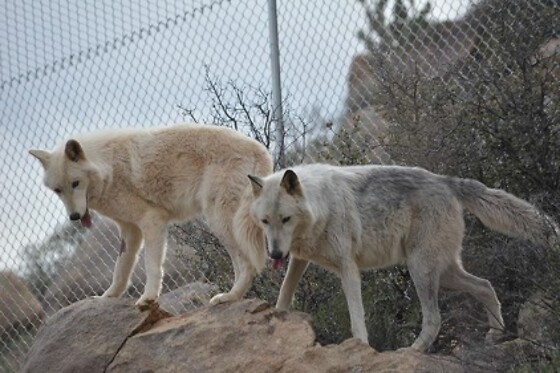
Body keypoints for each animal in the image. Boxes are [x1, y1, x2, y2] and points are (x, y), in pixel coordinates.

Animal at [30, 123, 272, 306]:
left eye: (76, 183)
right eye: (58, 190)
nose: (74, 217)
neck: (109, 169)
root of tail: (262, 151)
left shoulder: (152, 220)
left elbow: (151, 266)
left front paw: (148, 298)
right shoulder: (130, 230)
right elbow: (120, 271)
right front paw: (106, 297)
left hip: (220, 223)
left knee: (248, 265)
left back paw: (229, 297)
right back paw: (232, 297)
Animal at [250, 163, 560, 352]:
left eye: (286, 219)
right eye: (265, 221)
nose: (274, 254)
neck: (320, 206)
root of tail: (446, 181)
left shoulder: (349, 268)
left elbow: (356, 317)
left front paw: (362, 346)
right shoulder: (298, 259)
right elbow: (284, 294)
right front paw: (275, 321)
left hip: (421, 270)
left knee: (435, 319)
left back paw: (413, 350)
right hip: (442, 273)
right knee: (485, 285)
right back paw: (495, 334)